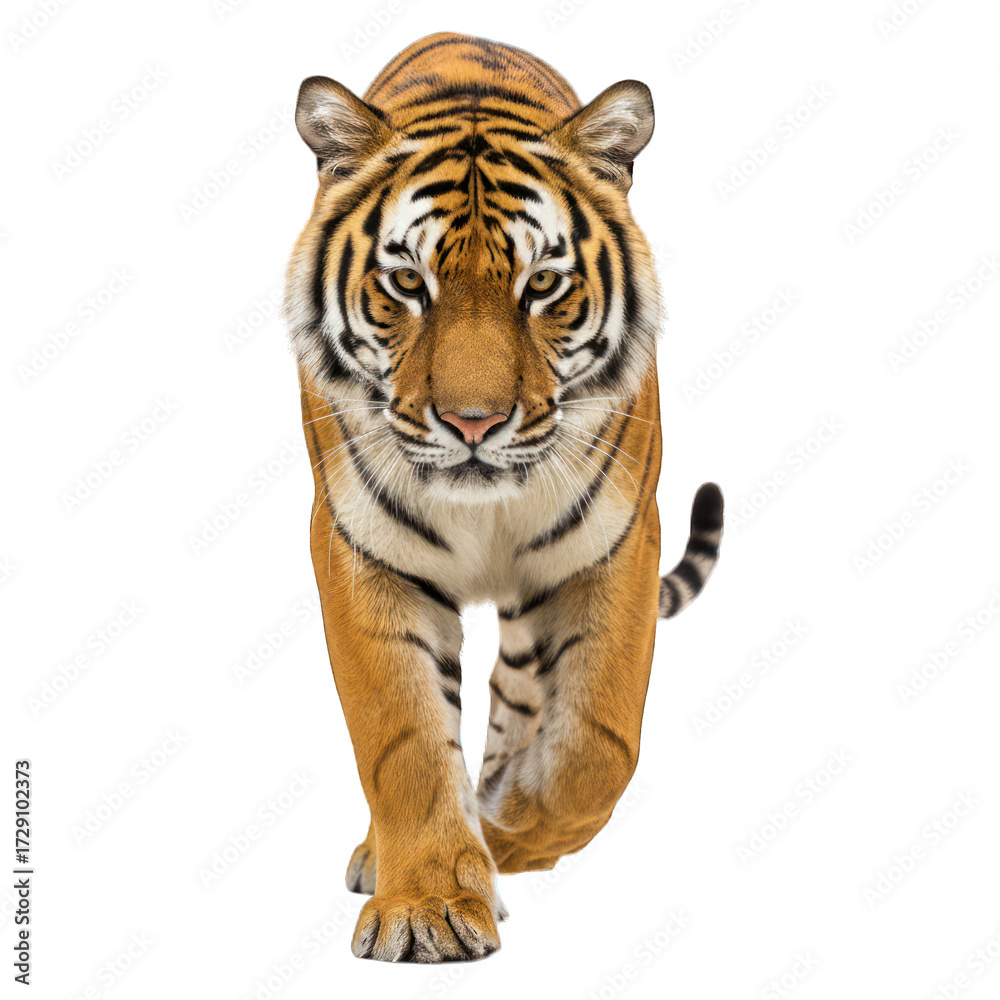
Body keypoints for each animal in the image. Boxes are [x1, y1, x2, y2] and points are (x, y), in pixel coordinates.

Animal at [284, 32, 724, 963]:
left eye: (543, 286)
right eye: (407, 284)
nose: (473, 422)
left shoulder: (616, 543)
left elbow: (599, 742)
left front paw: (513, 833)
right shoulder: (360, 550)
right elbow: (403, 739)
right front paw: (426, 906)